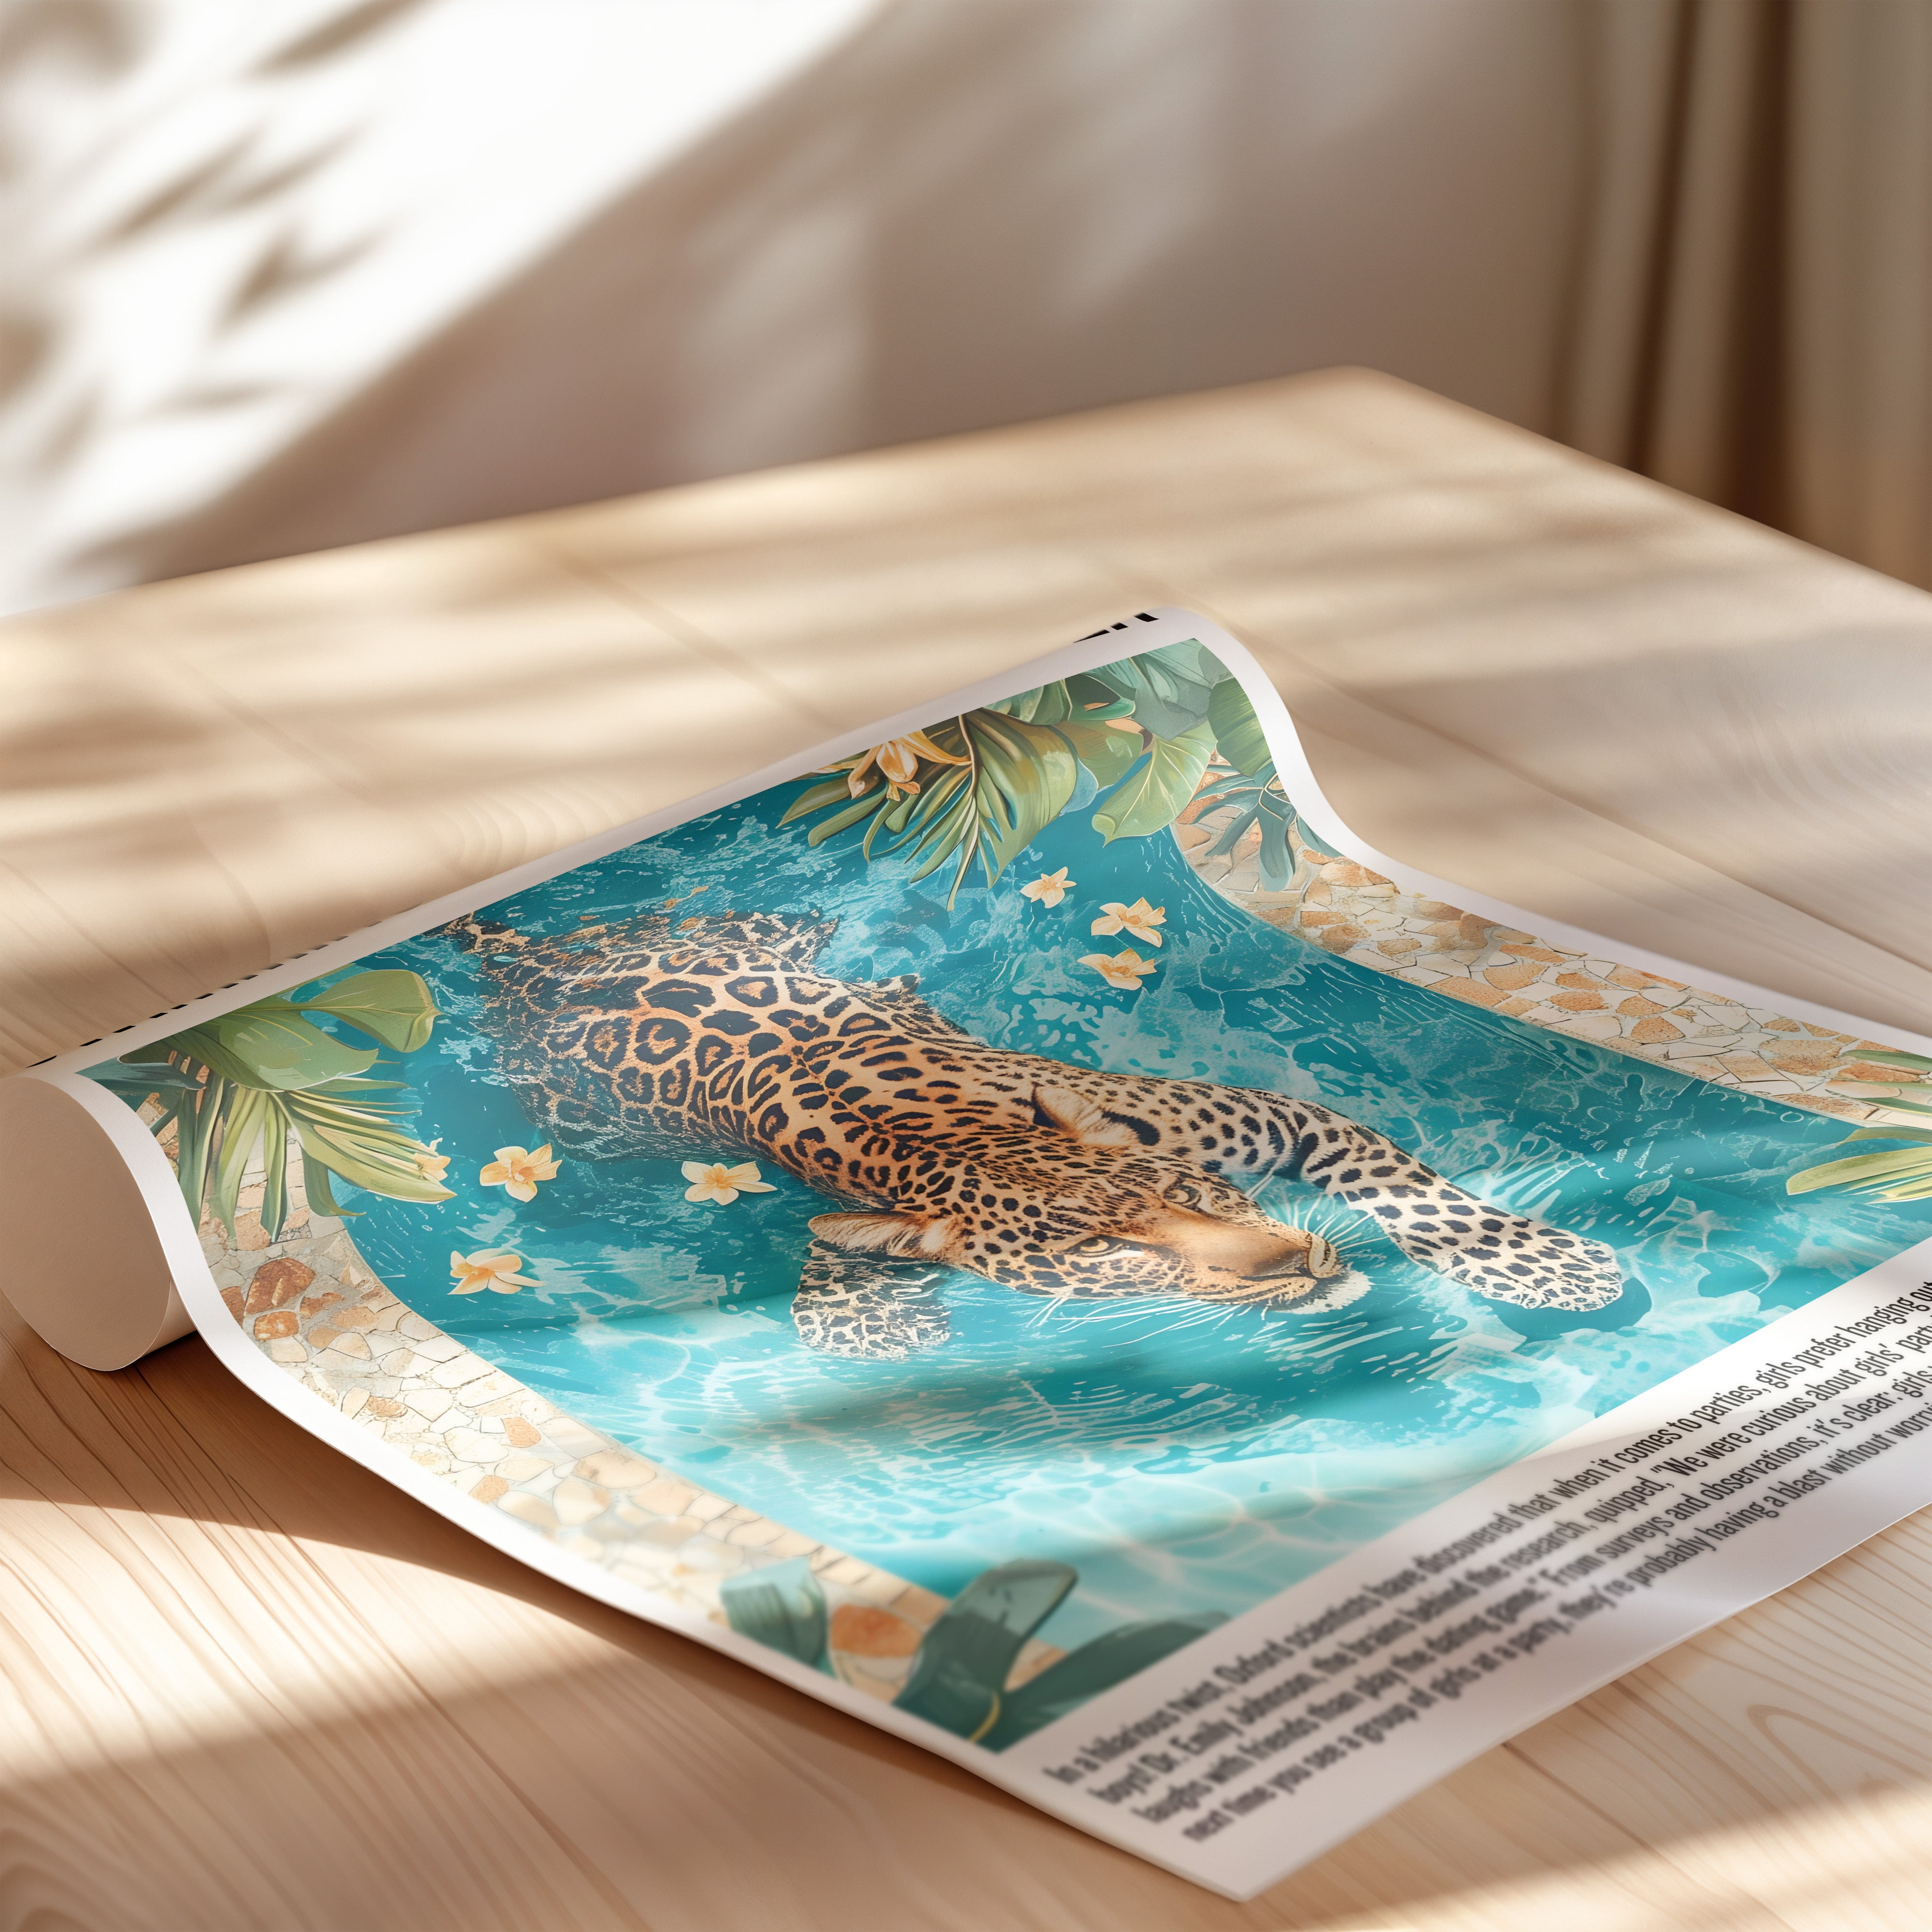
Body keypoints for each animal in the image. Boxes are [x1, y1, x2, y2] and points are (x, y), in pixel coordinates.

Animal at [442, 908, 1624, 1357]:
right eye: (1106, 1250)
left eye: (1191, 1197)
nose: (1290, 1263)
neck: (946, 1141)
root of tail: (529, 960)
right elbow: (841, 1273)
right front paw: (875, 1325)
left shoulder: (1290, 1115)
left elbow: (1411, 1188)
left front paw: (1548, 1269)